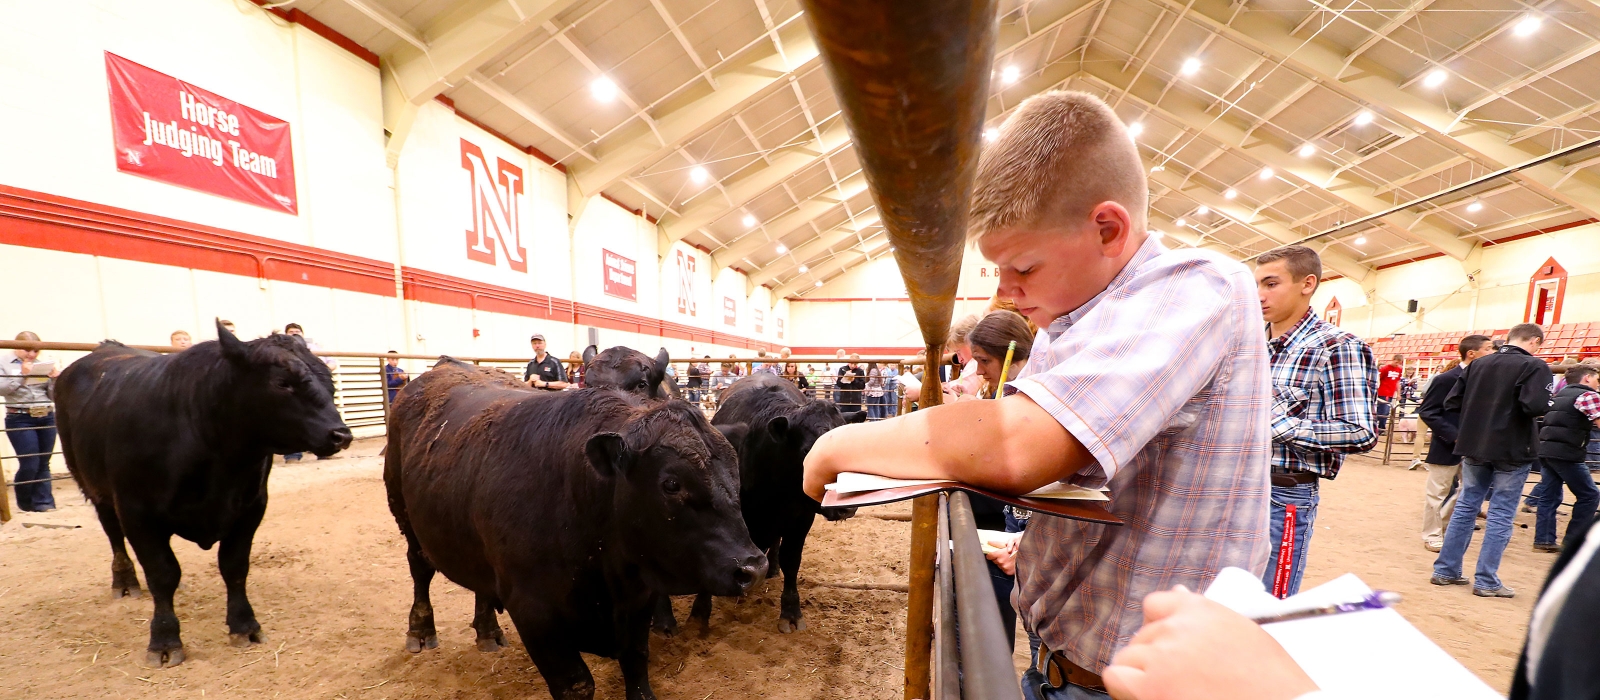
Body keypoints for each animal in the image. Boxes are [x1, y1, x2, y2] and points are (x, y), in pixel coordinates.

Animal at [55, 322, 350, 668]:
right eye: (282, 383)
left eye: (328, 381)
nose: (341, 434)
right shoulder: (137, 512)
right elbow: (162, 573)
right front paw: (164, 640)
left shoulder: (250, 508)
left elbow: (234, 566)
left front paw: (244, 626)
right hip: (93, 486)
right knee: (113, 534)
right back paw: (125, 582)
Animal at [384, 361, 764, 700]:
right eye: (671, 483)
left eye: (736, 473)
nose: (752, 567)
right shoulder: (534, 613)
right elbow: (577, 684)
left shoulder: (637, 599)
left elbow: (636, 663)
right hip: (406, 519)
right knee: (420, 569)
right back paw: (420, 630)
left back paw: (488, 631)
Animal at [672, 377, 870, 632]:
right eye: (807, 451)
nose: (845, 504)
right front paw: (699, 615)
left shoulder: (801, 519)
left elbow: (791, 560)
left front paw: (791, 612)